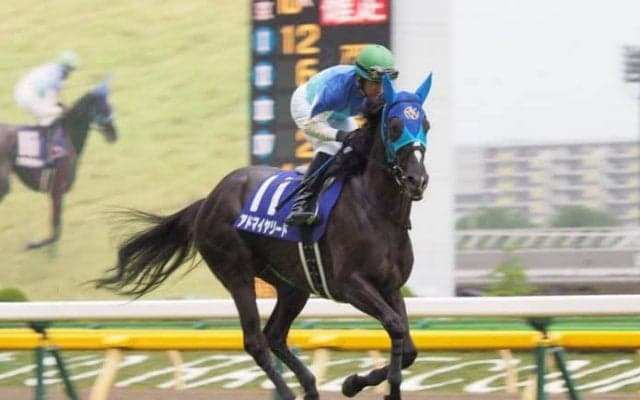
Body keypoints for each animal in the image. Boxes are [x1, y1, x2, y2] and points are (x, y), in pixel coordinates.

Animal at [0, 78, 117, 250]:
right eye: (102, 109)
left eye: (110, 106)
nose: (114, 134)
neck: (68, 136)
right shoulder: (57, 191)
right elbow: (55, 231)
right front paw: (35, 244)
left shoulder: (56, 193)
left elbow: (56, 230)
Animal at [94, 73, 431, 400]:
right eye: (394, 125)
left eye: (426, 124)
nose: (417, 179)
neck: (376, 209)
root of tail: (208, 201)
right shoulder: (350, 284)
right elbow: (395, 326)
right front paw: (371, 385)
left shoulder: (390, 286)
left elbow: (408, 345)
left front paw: (356, 383)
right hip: (237, 272)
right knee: (256, 340)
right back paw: (290, 391)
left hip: (292, 284)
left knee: (275, 335)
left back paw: (310, 387)